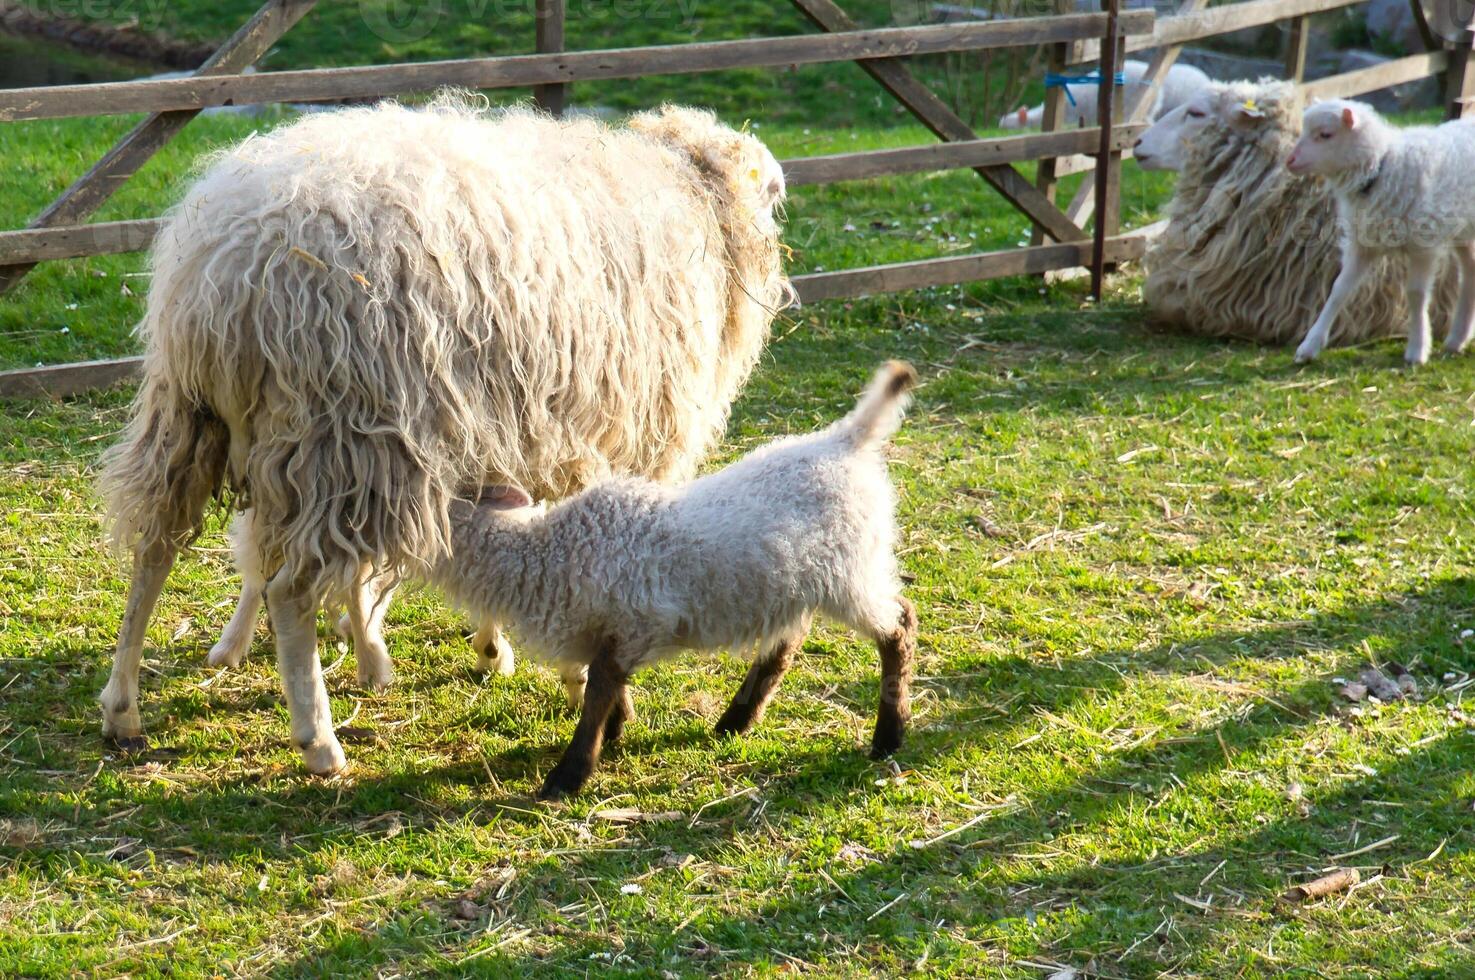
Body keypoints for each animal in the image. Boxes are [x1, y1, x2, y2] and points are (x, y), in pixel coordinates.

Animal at [101, 97, 796, 773]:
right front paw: (573, 676)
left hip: (194, 420)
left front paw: (493, 647)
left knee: (154, 551)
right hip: (349, 435)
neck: (691, 193)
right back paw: (319, 741)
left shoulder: (521, 438)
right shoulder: (627, 442)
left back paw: (124, 707)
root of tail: (230, 271)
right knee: (289, 590)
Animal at [433, 363, 920, 802]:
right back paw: (735, 721)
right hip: (791, 581)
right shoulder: (604, 630)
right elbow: (607, 687)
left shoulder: (636, 621)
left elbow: (599, 691)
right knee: (787, 642)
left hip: (851, 571)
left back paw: (887, 736)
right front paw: (615, 731)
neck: (549, 549)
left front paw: (569, 774)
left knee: (899, 625)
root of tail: (846, 439)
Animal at [1286, 97, 1475, 366]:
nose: (1289, 161)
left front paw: (1417, 349)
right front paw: (1309, 345)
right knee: (1470, 269)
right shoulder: (1362, 244)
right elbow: (1339, 290)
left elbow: (1416, 294)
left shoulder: (1424, 244)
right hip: (1463, 228)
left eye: (1325, 134)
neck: (1381, 168)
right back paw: (1457, 338)